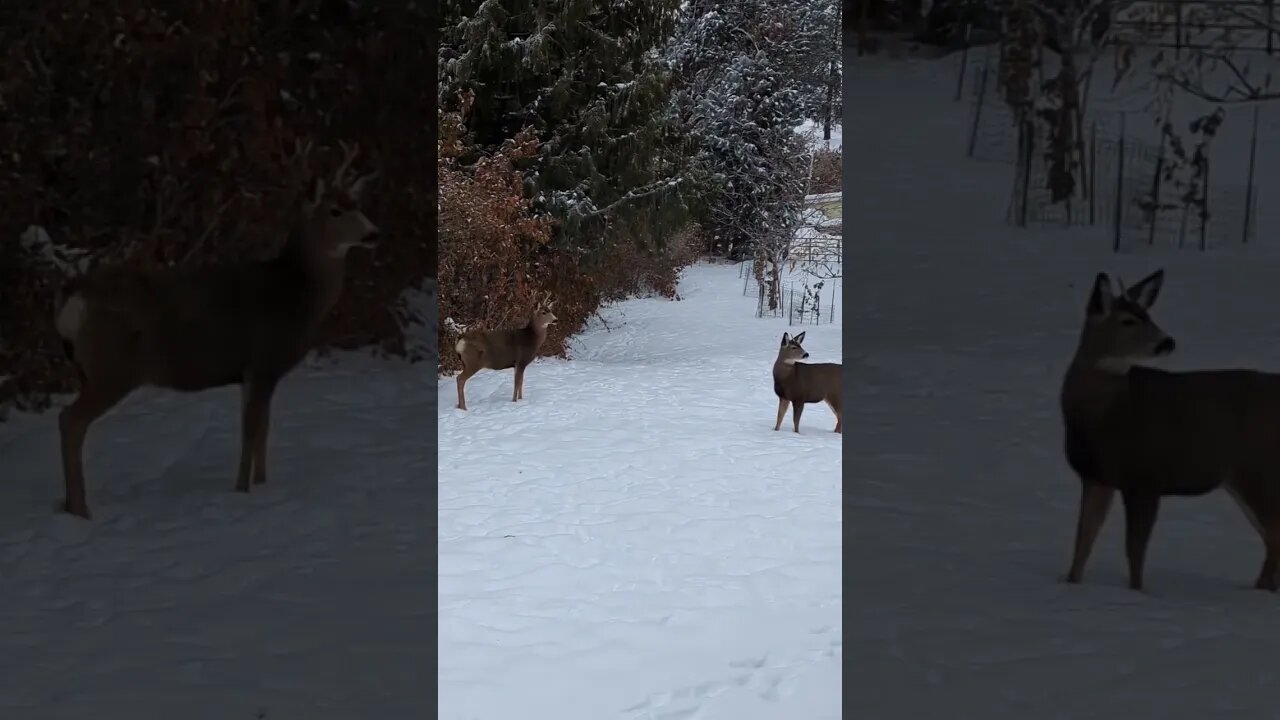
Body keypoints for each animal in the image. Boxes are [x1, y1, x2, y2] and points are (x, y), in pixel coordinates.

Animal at [51, 139, 380, 519]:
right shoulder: (264, 360)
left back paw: (69, 505)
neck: (293, 295)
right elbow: (251, 430)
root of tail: (73, 299)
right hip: (114, 367)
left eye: (358, 204)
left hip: (88, 369)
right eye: (336, 211)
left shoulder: (250, 373)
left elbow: (261, 428)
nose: (374, 234)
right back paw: (81, 511)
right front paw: (242, 491)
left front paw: (262, 484)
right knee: (70, 421)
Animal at [1061, 269, 1280, 592]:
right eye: (1128, 320)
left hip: (1257, 467)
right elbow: (1082, 542)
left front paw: (1137, 592)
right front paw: (1071, 584)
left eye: (1149, 316)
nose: (1167, 342)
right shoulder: (1095, 476)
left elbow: (1134, 550)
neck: (1105, 415)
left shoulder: (1145, 477)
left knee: (1274, 536)